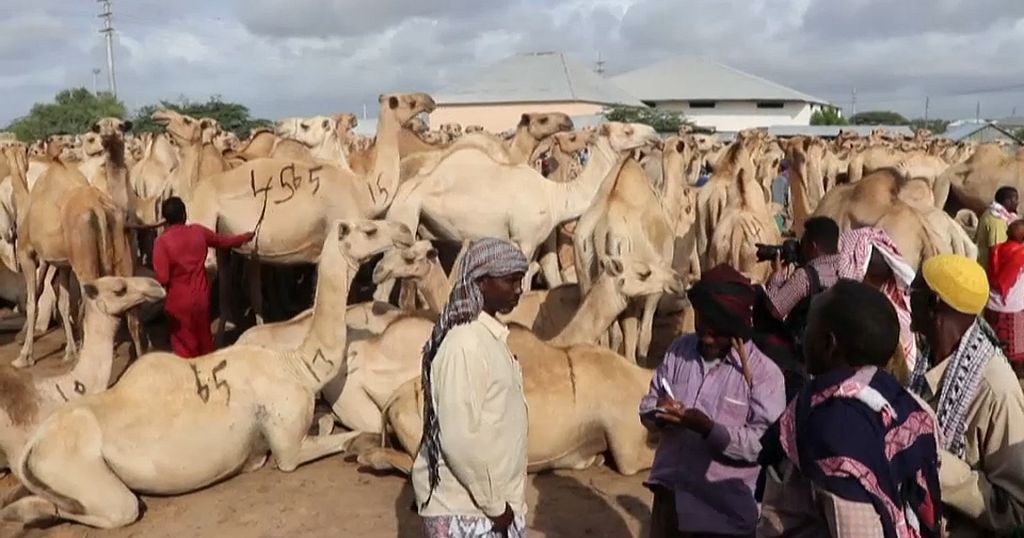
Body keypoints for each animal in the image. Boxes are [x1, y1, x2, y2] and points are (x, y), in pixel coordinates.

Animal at [387, 120, 659, 291]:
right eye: (627, 130)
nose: (655, 134)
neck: (554, 197)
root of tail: (401, 191)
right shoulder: (524, 240)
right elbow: (525, 273)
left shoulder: (540, 240)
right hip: (405, 216)